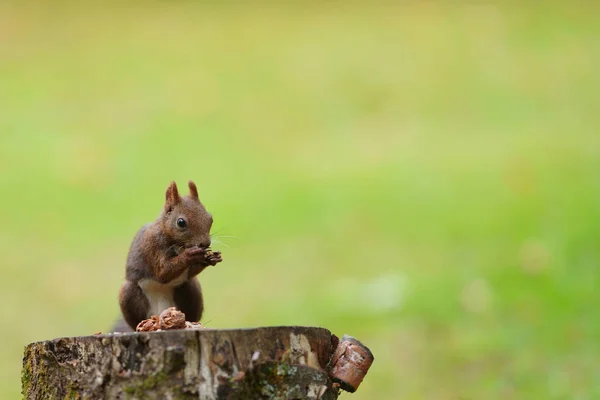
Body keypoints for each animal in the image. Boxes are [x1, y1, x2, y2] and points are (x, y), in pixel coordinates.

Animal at [116, 181, 221, 332]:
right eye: (181, 222)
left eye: (210, 218)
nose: (205, 244)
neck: (178, 244)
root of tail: (160, 312)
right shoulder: (152, 246)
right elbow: (163, 273)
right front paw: (190, 254)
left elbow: (189, 272)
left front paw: (211, 258)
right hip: (128, 295)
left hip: (190, 288)